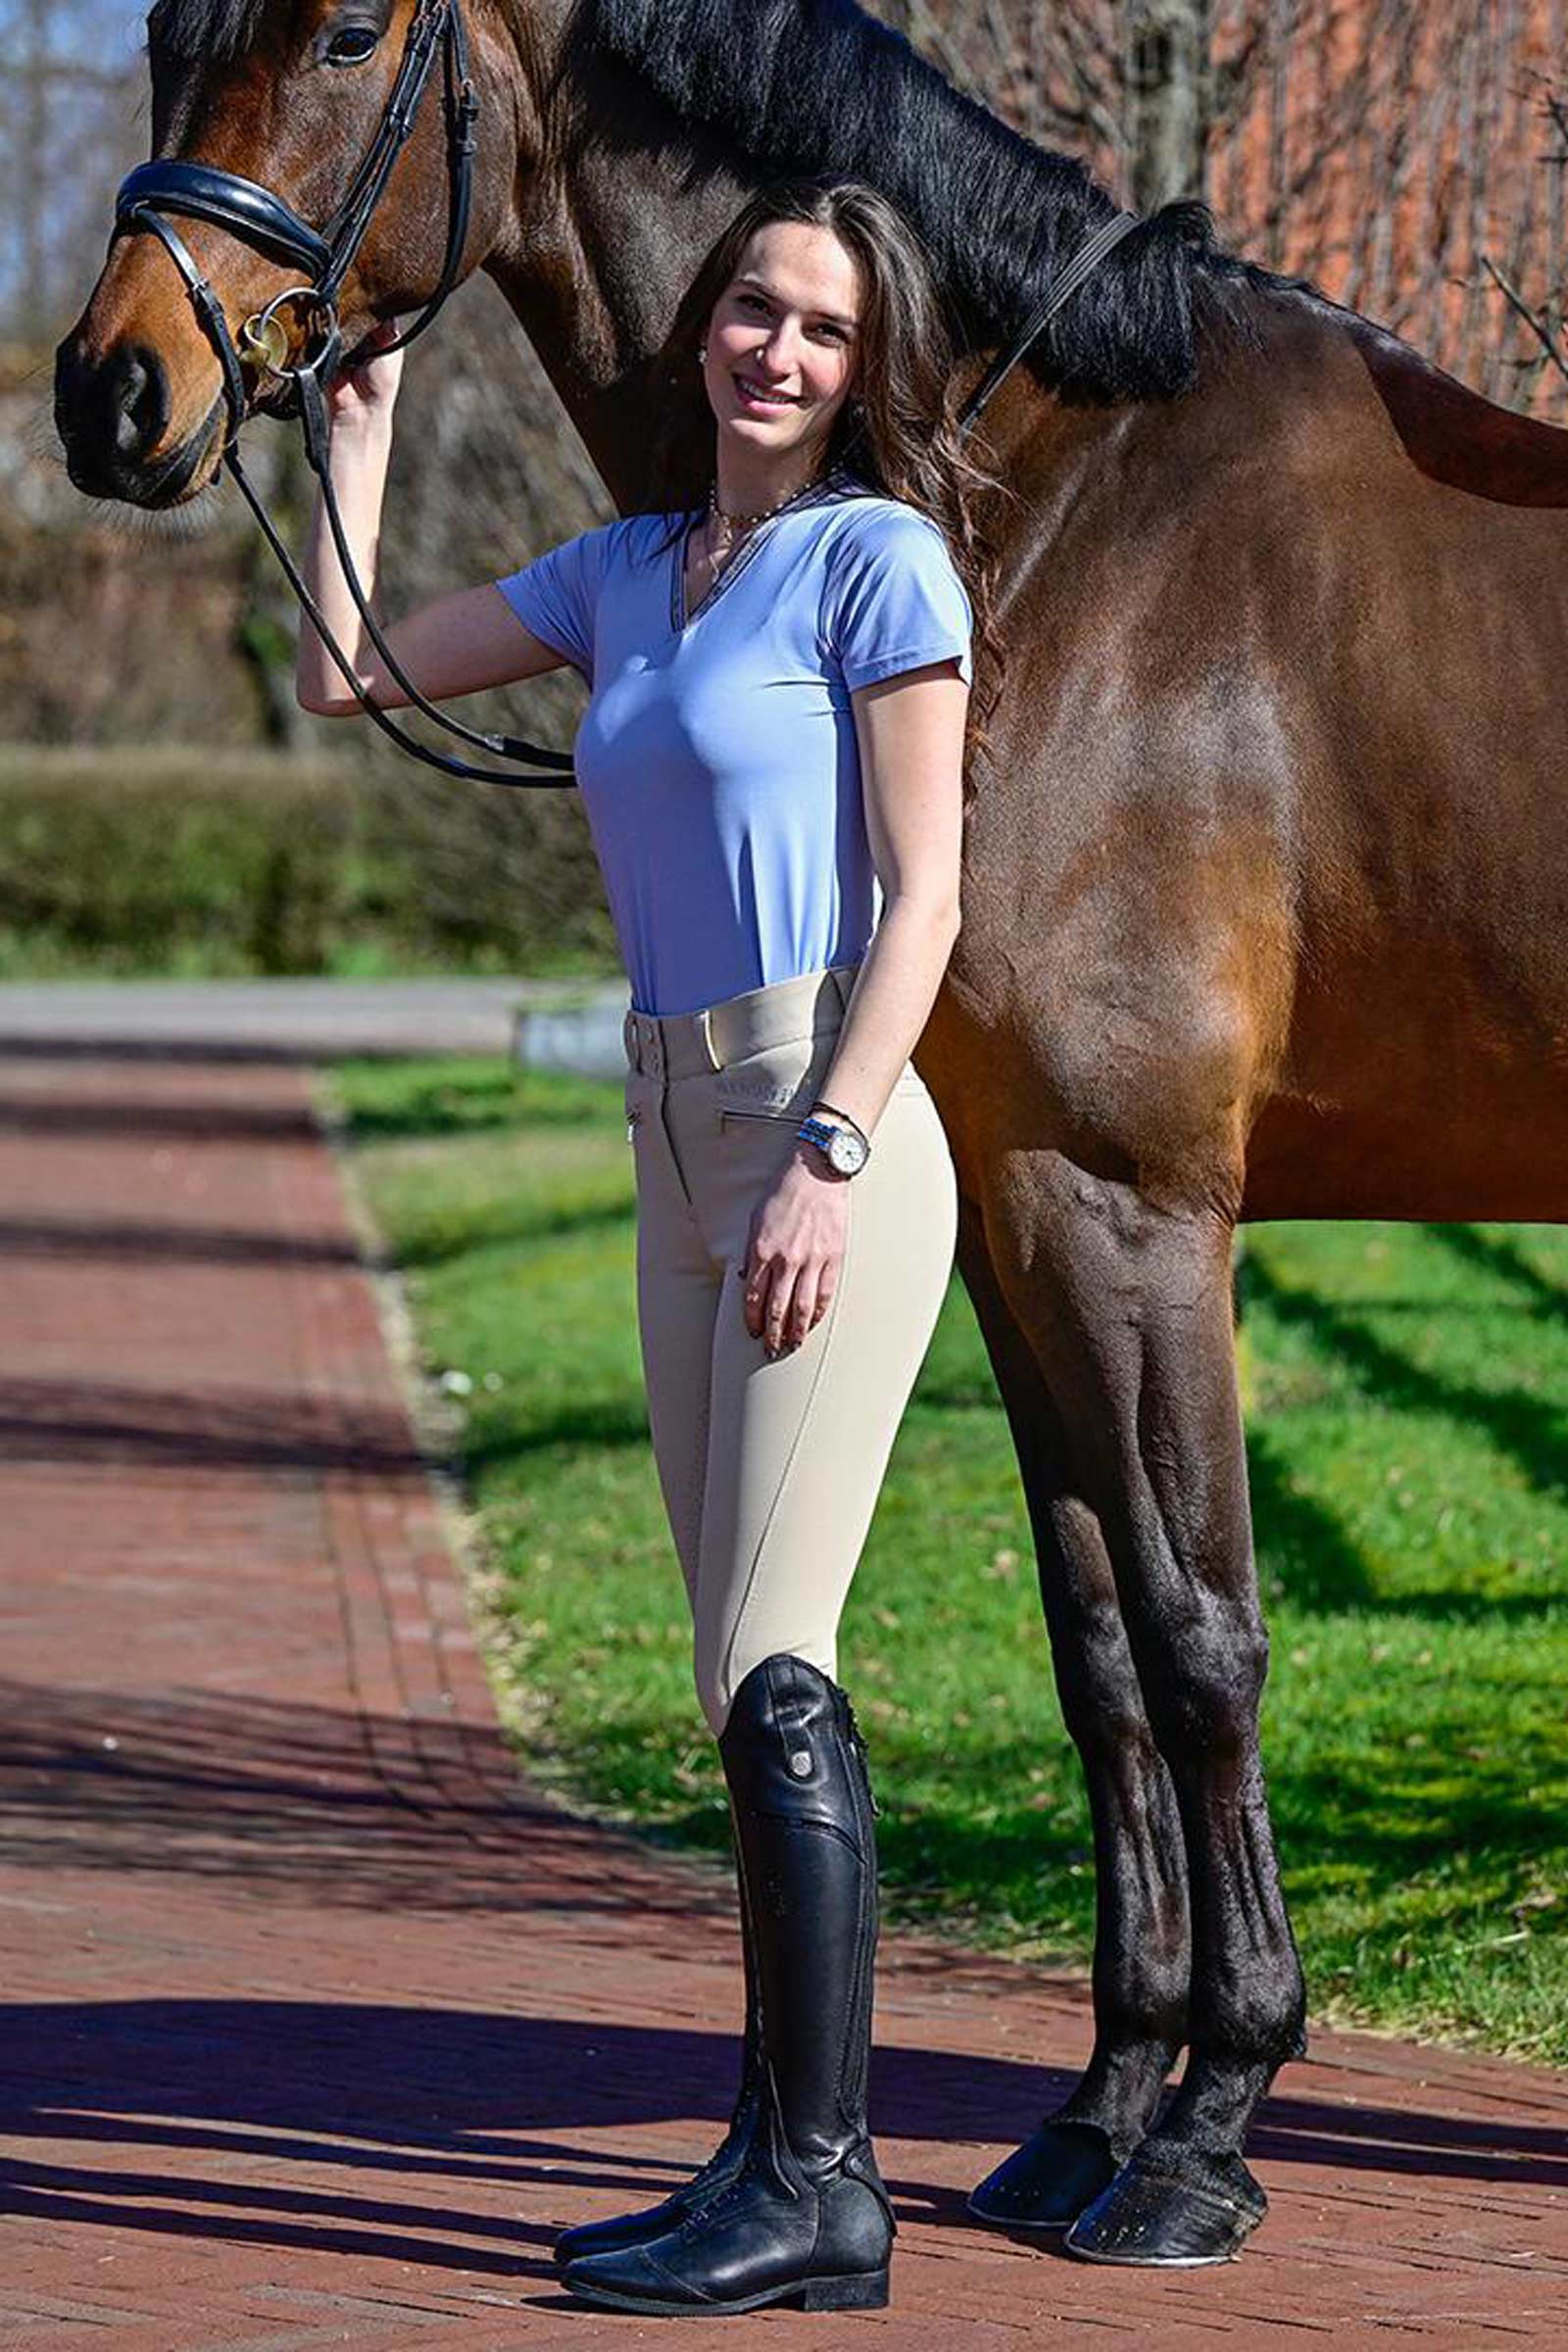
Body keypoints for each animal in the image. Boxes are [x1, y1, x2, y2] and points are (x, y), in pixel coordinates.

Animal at [53, 0, 1568, 2268]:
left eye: (345, 32)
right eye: (162, 34)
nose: (112, 389)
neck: (1039, 516)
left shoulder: (1134, 1213)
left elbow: (1206, 1637)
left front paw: (1206, 2134)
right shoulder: (1015, 1218)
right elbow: (1097, 1649)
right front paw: (1096, 2115)